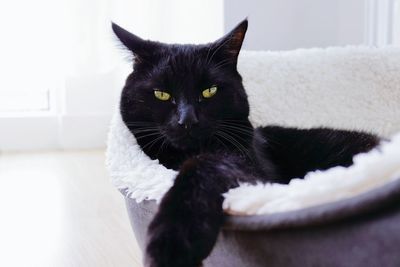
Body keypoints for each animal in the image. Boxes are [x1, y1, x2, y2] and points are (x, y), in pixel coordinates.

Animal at [111, 19, 380, 267]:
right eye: (162, 94)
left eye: (210, 91)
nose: (187, 120)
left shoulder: (252, 169)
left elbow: (205, 165)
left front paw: (172, 243)